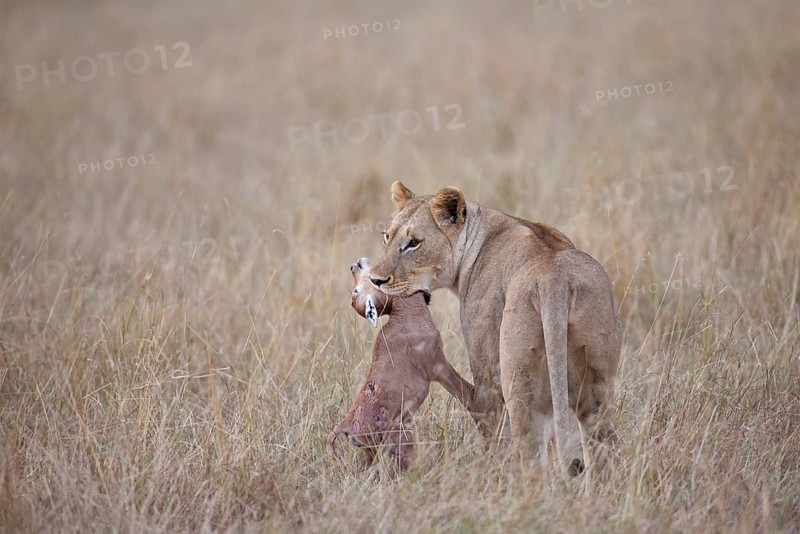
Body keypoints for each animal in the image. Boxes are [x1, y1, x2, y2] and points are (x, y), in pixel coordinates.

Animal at [327, 257, 480, 471]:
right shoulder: (437, 366)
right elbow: (467, 394)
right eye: (355, 291)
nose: (355, 265)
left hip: (371, 451)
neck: (404, 317)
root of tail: (346, 427)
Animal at [367, 182, 623, 475]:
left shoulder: (486, 370)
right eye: (386, 236)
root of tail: (553, 280)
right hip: (597, 387)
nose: (374, 280)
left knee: (528, 453)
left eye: (413, 243)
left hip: (518, 383)